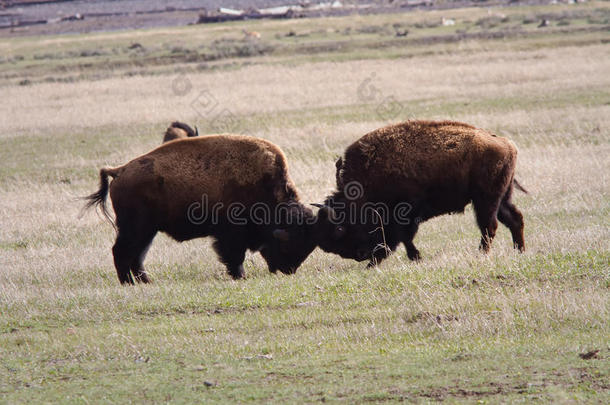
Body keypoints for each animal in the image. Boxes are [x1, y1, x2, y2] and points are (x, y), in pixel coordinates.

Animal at [82, 134, 314, 282]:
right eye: (289, 244)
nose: (288, 270)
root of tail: (120, 170)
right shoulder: (230, 234)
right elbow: (234, 256)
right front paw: (240, 276)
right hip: (135, 228)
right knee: (122, 251)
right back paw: (128, 283)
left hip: (147, 231)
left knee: (137, 255)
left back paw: (145, 281)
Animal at [314, 119, 524, 266]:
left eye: (340, 228)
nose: (359, 255)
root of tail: (507, 144)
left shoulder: (404, 214)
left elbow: (404, 238)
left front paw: (414, 257)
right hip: (501, 198)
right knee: (513, 219)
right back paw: (519, 251)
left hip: (486, 200)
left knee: (489, 226)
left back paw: (481, 254)